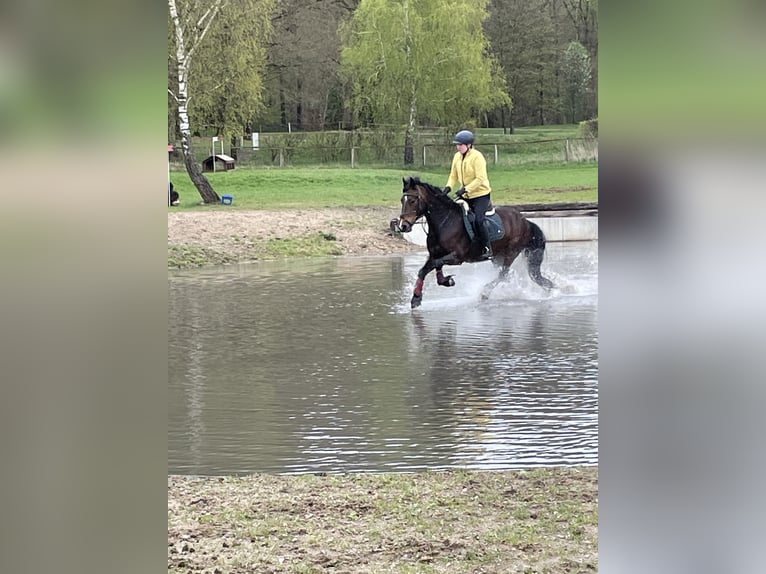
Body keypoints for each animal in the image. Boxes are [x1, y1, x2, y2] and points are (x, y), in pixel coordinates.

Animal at [393, 176, 554, 308]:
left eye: (412, 200)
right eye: (402, 200)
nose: (403, 226)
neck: (444, 222)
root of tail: (525, 220)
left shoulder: (457, 257)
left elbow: (435, 264)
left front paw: (445, 281)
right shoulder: (434, 254)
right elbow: (425, 269)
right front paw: (417, 298)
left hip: (511, 252)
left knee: (503, 274)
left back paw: (484, 292)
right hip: (497, 256)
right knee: (506, 275)